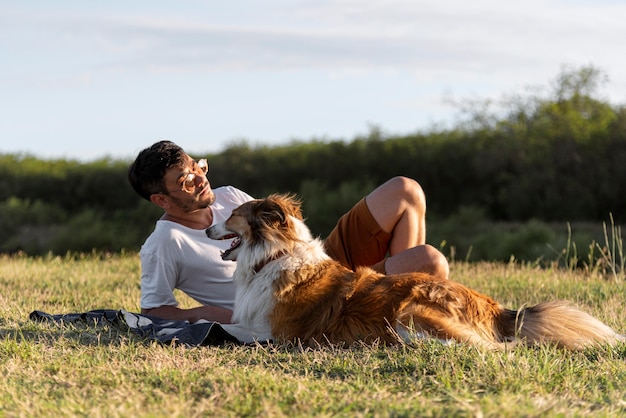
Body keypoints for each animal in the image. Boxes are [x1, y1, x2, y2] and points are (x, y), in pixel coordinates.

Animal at [206, 193, 624, 350]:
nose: (206, 227)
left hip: (411, 312)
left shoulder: (273, 332)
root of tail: (497, 309)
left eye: (231, 215)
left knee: (491, 348)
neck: (272, 255)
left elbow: (228, 329)